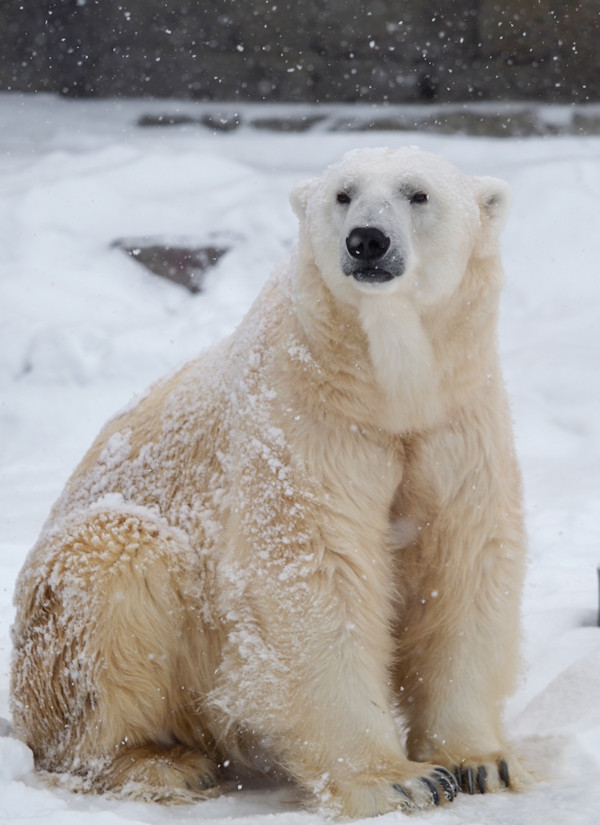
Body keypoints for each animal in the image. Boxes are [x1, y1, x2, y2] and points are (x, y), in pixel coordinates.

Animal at [10, 148, 528, 816]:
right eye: (343, 194)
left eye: (418, 193)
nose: (367, 240)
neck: (384, 391)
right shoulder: (301, 416)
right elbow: (315, 571)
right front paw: (397, 780)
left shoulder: (454, 421)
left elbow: (465, 560)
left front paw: (478, 763)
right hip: (52, 643)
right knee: (116, 560)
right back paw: (160, 763)